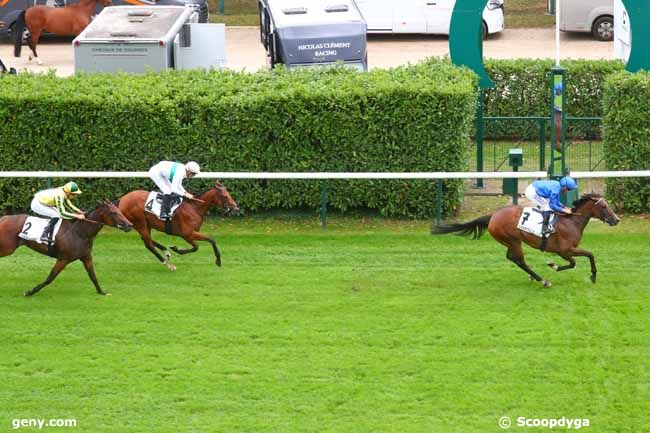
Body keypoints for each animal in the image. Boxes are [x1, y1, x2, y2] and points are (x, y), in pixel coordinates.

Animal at [0, 200, 132, 296]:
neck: (79, 232)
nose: (129, 225)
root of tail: (3, 218)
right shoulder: (63, 259)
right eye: (114, 213)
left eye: (119, 211)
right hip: (7, 248)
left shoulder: (86, 257)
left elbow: (93, 276)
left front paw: (101, 292)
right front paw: (30, 292)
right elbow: (50, 278)